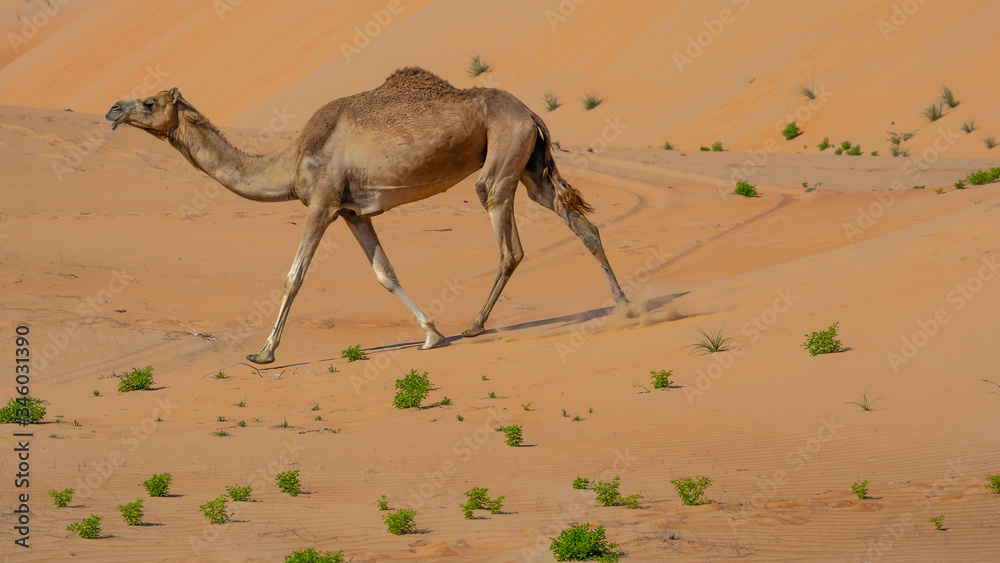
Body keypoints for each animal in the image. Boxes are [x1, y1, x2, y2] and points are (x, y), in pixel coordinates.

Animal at [105, 67, 629, 364]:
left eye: (149, 102)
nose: (112, 109)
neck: (289, 162)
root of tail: (531, 114)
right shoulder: (352, 211)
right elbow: (385, 273)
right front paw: (432, 336)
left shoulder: (321, 203)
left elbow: (294, 276)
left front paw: (264, 352)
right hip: (531, 166)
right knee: (581, 222)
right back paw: (623, 303)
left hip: (502, 162)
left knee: (510, 245)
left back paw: (477, 325)